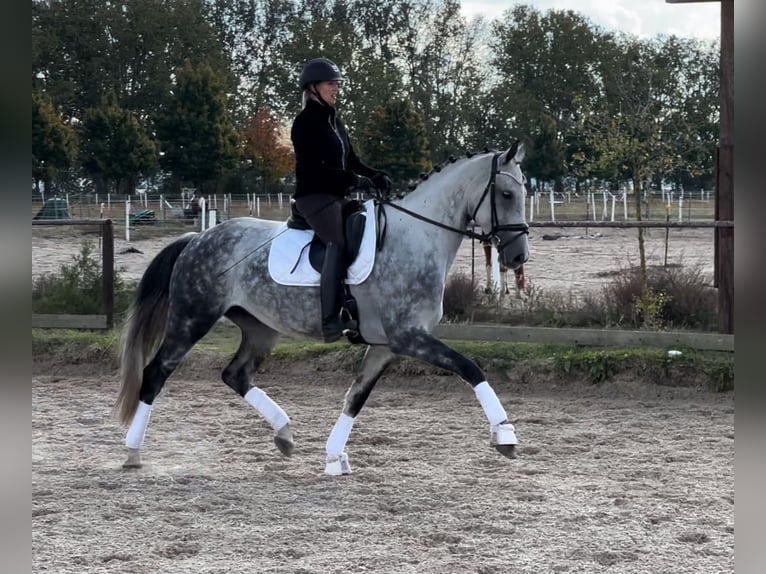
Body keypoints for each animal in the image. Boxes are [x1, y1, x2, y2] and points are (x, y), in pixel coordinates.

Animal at [115, 142, 529, 475]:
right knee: (155, 374)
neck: (417, 237)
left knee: (236, 375)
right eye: (507, 194)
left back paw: (284, 433)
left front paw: (334, 457)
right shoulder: (409, 337)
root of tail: (197, 238)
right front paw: (505, 435)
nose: (518, 257)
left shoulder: (386, 346)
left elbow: (355, 396)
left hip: (260, 328)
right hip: (191, 320)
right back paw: (133, 453)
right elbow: (470, 368)